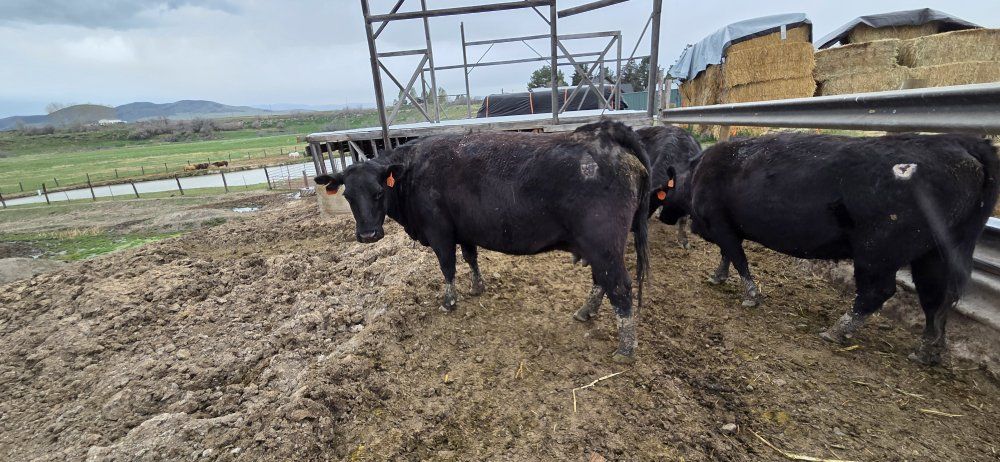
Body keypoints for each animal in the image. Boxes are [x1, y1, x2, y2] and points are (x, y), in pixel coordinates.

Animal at [314, 121, 652, 362]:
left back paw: (626, 350)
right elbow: (471, 258)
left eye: (378, 192)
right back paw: (585, 312)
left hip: (603, 244)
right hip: (599, 247)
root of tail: (605, 135)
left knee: (619, 287)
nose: (368, 235)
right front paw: (477, 287)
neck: (413, 170)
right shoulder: (464, 230)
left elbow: (448, 267)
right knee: (601, 282)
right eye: (348, 196)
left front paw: (449, 302)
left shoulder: (439, 232)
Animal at [662, 132, 999, 365]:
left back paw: (838, 330)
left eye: (665, 192)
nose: (664, 218)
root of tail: (959, 142)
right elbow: (727, 256)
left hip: (877, 254)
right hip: (936, 254)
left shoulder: (722, 225)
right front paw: (718, 277)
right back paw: (929, 348)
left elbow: (737, 258)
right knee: (937, 298)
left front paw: (751, 295)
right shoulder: (727, 228)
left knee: (878, 293)